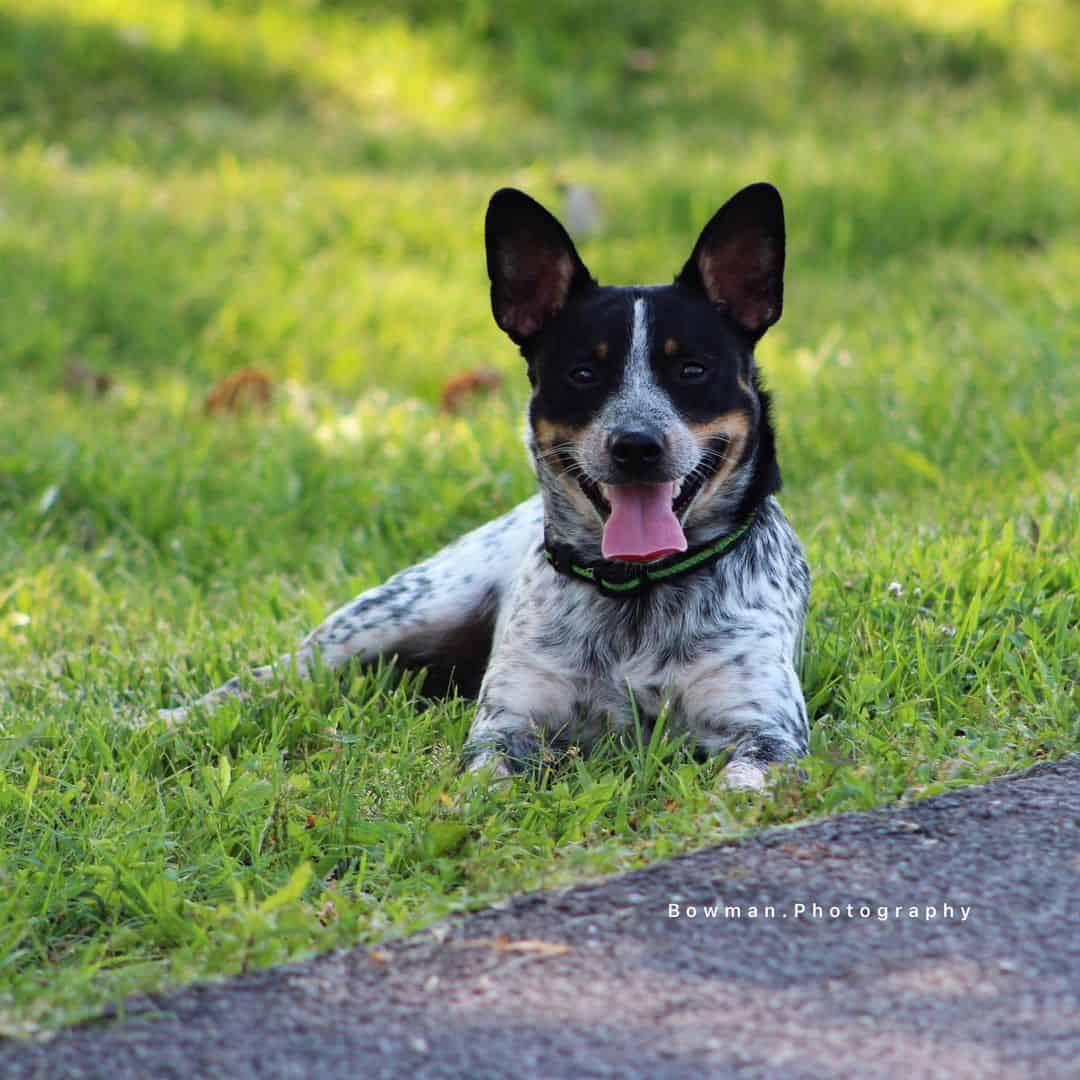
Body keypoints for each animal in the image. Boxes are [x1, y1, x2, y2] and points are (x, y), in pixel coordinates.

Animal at [162, 183, 812, 794]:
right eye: (582, 373)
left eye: (692, 370)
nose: (636, 445)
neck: (636, 596)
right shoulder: (509, 723)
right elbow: (484, 781)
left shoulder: (766, 727)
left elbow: (744, 781)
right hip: (389, 618)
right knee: (267, 676)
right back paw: (164, 719)